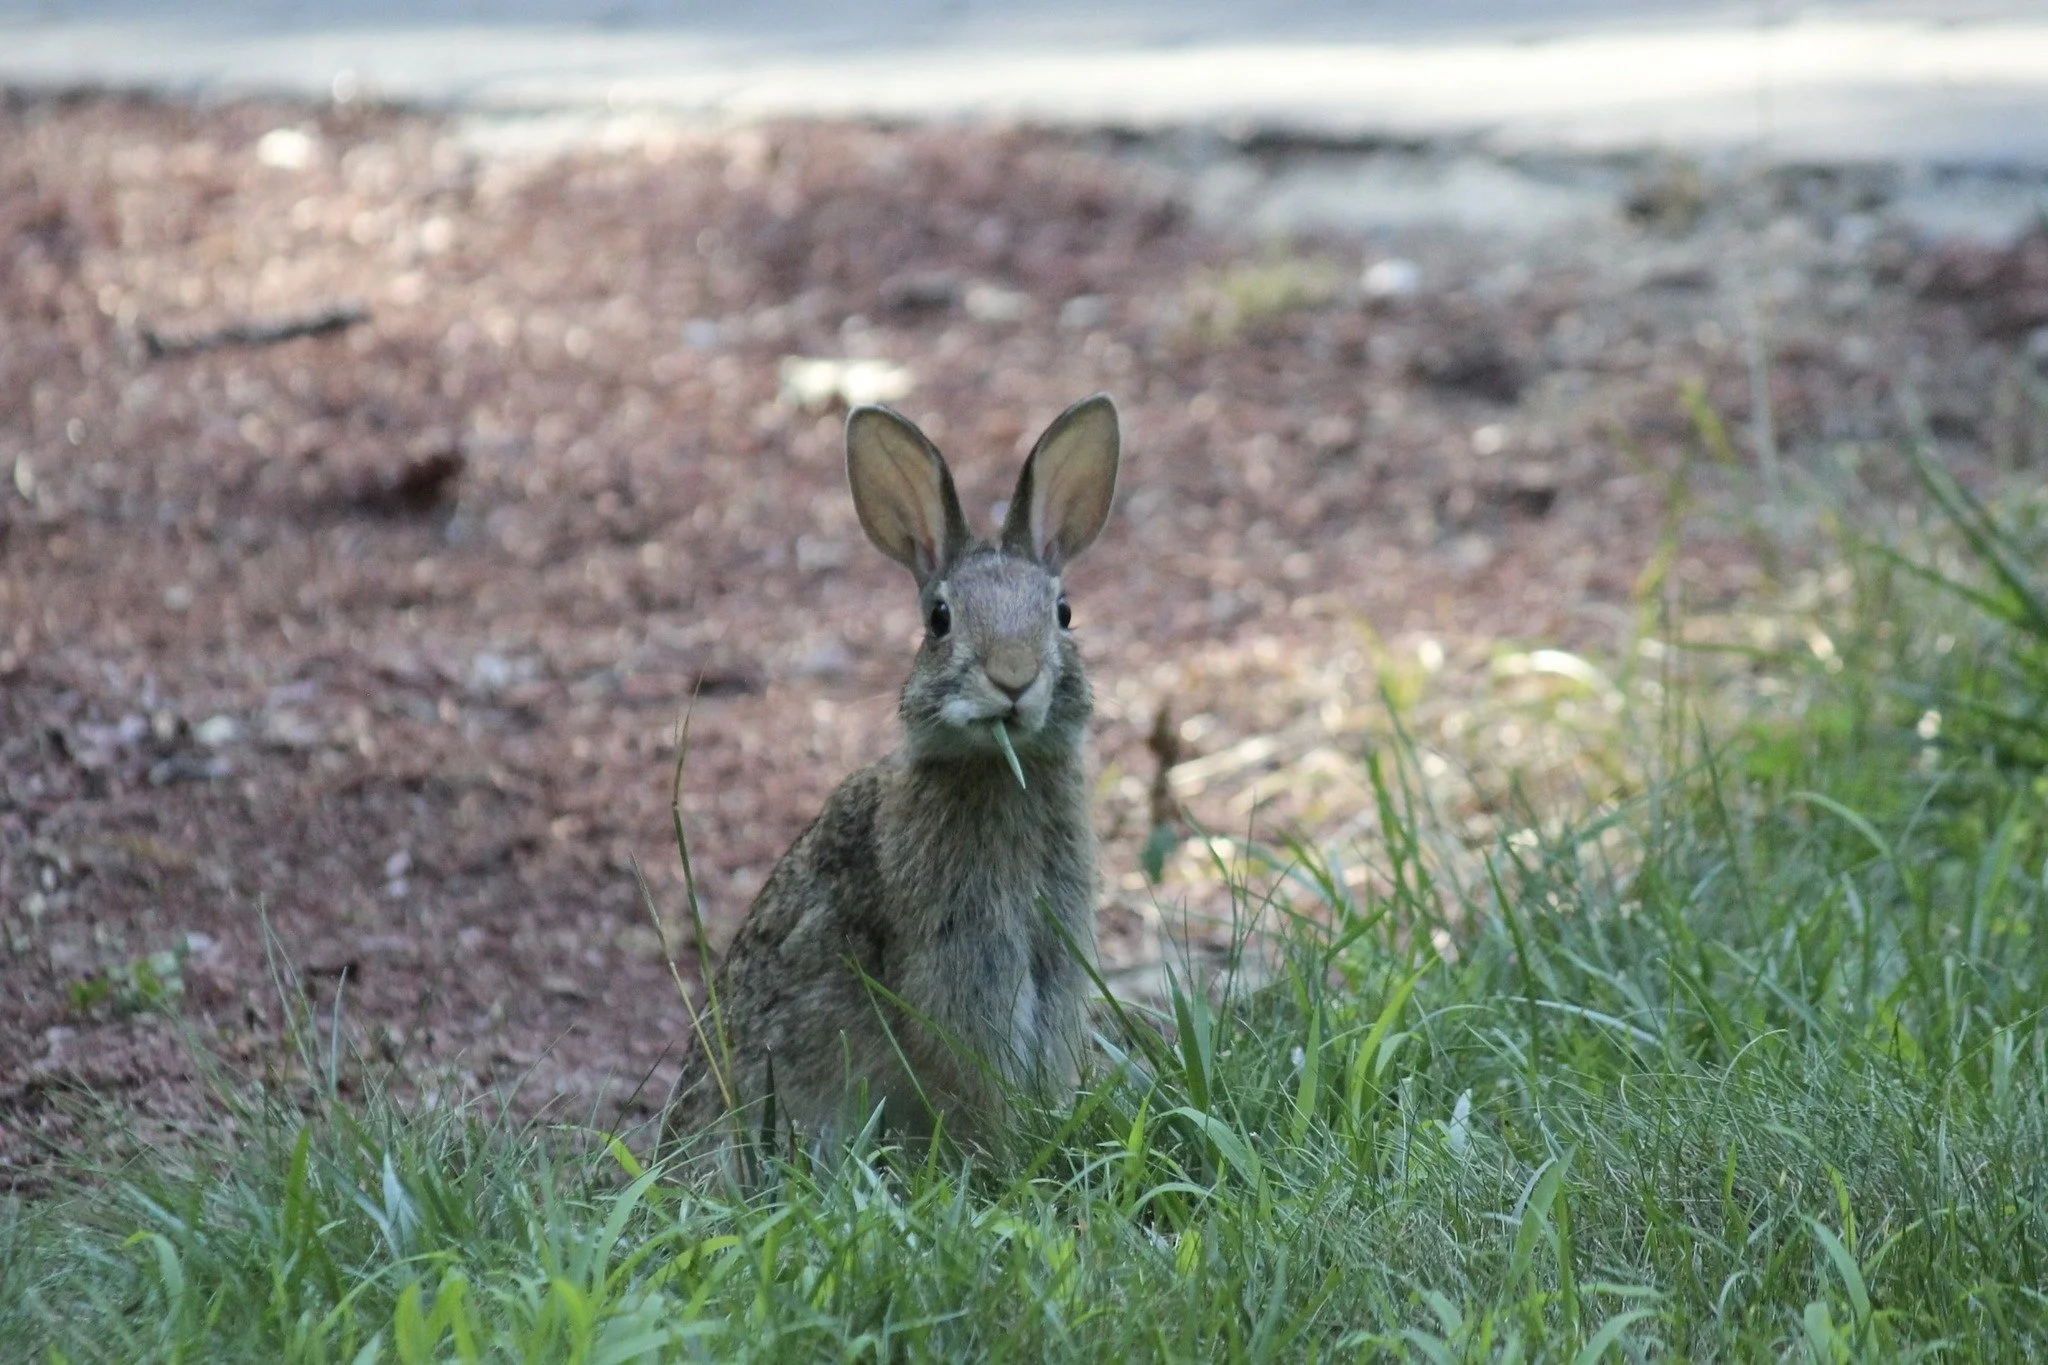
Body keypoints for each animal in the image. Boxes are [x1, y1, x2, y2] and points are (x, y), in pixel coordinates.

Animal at [665, 394, 1122, 1155]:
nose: (1015, 678)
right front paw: (1013, 1148)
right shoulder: (957, 959)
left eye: (1063, 613)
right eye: (939, 619)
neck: (996, 770)